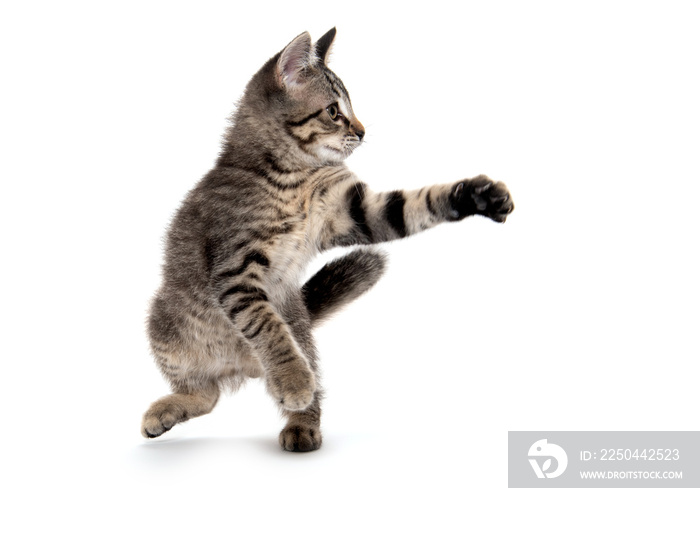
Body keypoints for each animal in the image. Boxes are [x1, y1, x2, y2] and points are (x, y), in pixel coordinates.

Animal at [142, 27, 516, 448]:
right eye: (334, 112)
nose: (363, 131)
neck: (291, 178)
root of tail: (243, 366)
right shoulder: (234, 269)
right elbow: (266, 325)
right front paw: (293, 379)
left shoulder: (353, 214)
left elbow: (413, 205)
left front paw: (477, 195)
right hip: (163, 322)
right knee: (206, 393)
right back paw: (175, 409)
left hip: (300, 328)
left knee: (245, 387)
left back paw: (302, 424)